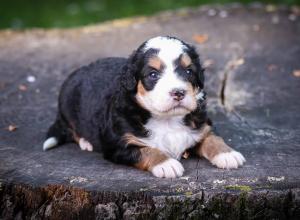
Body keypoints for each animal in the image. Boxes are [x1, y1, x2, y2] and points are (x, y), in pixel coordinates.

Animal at [44, 35, 246, 177]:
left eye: (189, 71)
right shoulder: (119, 144)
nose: (178, 92)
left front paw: (227, 154)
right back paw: (86, 142)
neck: (167, 120)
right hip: (67, 105)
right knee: (71, 129)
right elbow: (146, 150)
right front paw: (166, 164)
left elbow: (212, 137)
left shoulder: (201, 125)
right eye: (153, 74)